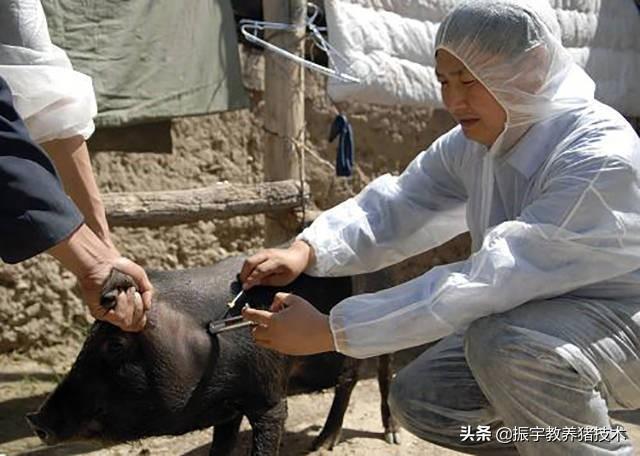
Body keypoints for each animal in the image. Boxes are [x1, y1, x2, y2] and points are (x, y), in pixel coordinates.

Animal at [27, 255, 400, 455]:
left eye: (116, 345)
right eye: (87, 340)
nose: (35, 419)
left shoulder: (269, 397)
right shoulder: (228, 407)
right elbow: (221, 446)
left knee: (376, 371)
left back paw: (381, 437)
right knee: (349, 377)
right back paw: (324, 443)